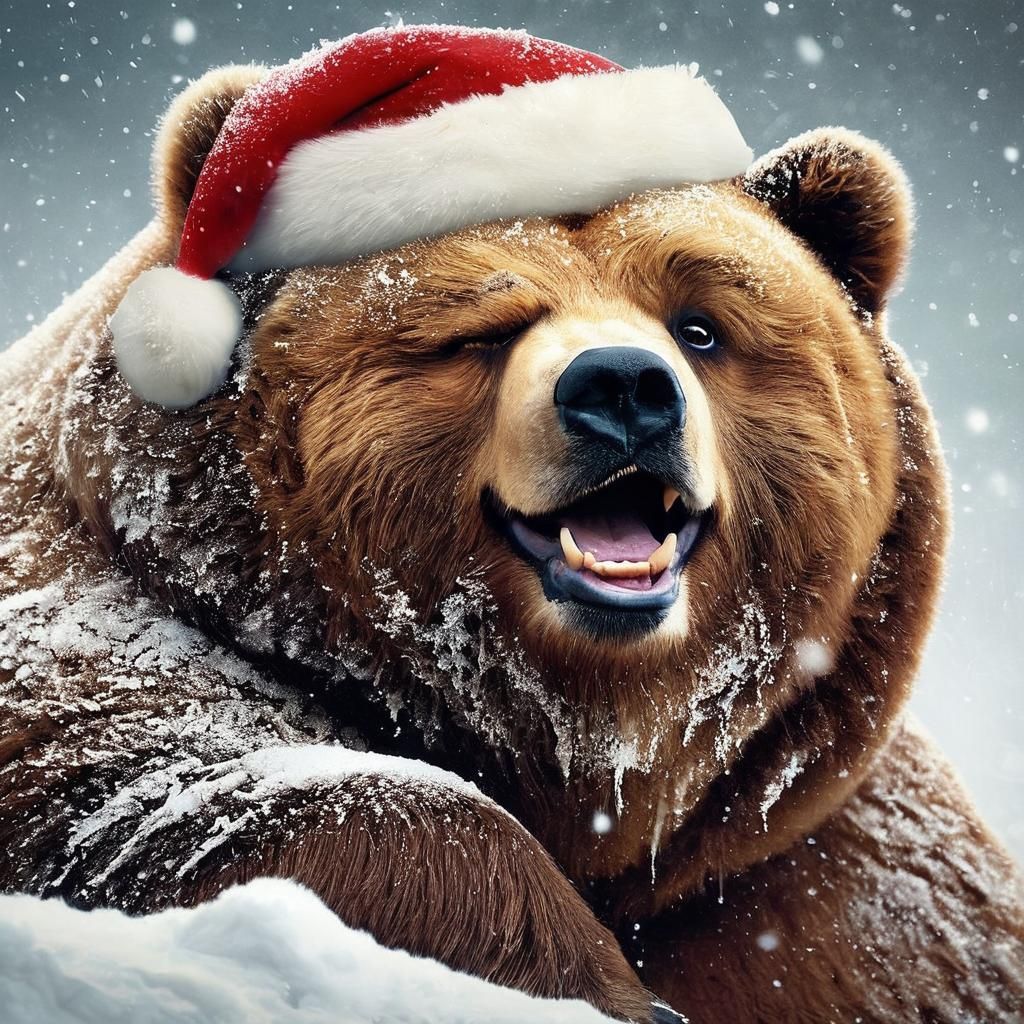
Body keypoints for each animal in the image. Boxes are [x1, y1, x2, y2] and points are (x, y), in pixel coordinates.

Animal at [1, 27, 1022, 1024]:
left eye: (699, 325)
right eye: (485, 327)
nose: (624, 389)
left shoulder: (815, 871)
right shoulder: (106, 627)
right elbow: (196, 779)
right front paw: (595, 980)